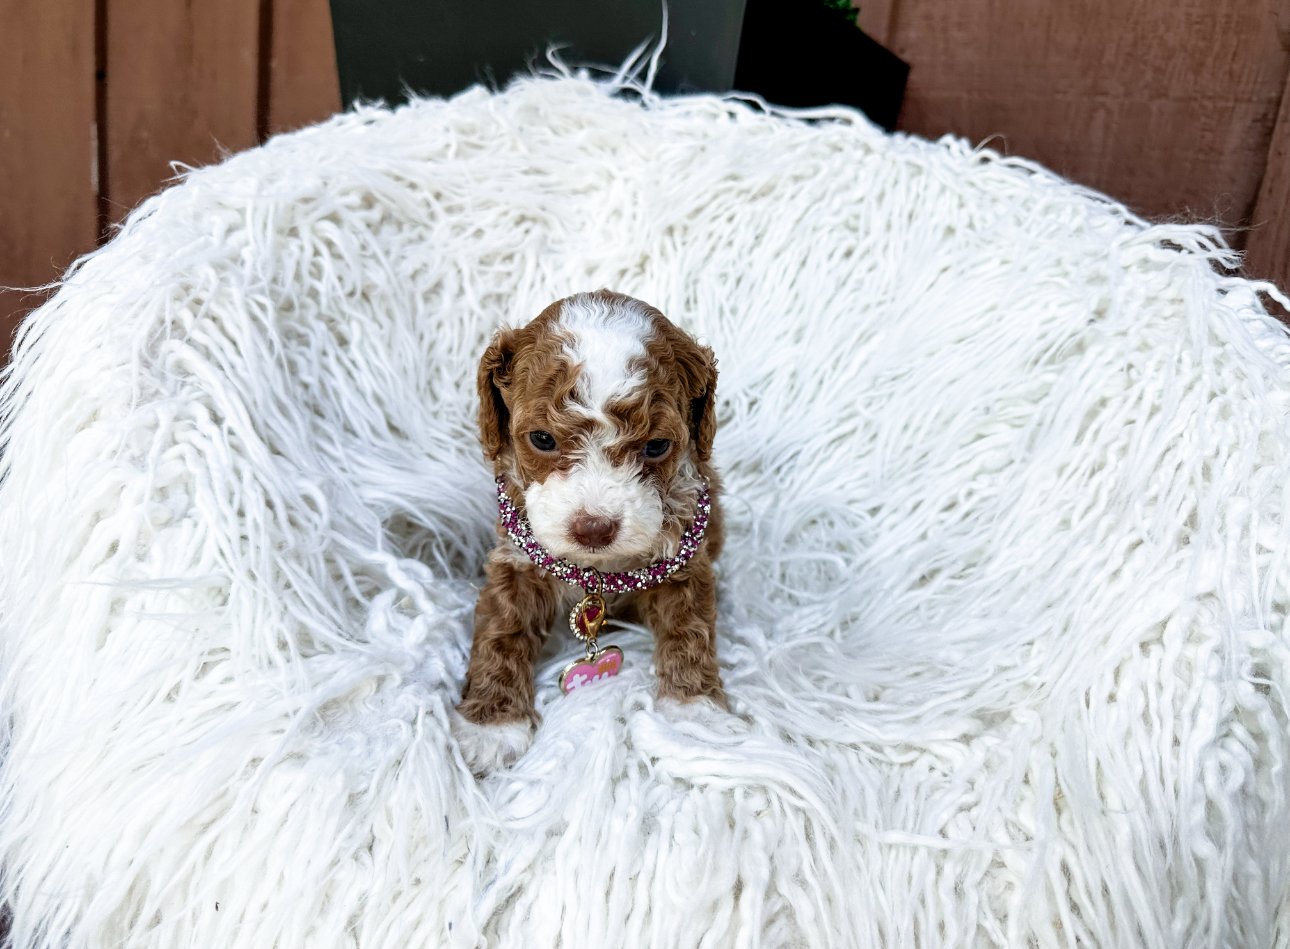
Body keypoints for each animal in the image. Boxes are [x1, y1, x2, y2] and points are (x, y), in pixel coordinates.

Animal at [454, 287, 722, 773]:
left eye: (657, 446)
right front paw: (492, 726)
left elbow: (689, 626)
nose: (594, 528)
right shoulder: (516, 560)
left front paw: (694, 713)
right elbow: (503, 630)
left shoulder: (686, 558)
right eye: (542, 439)